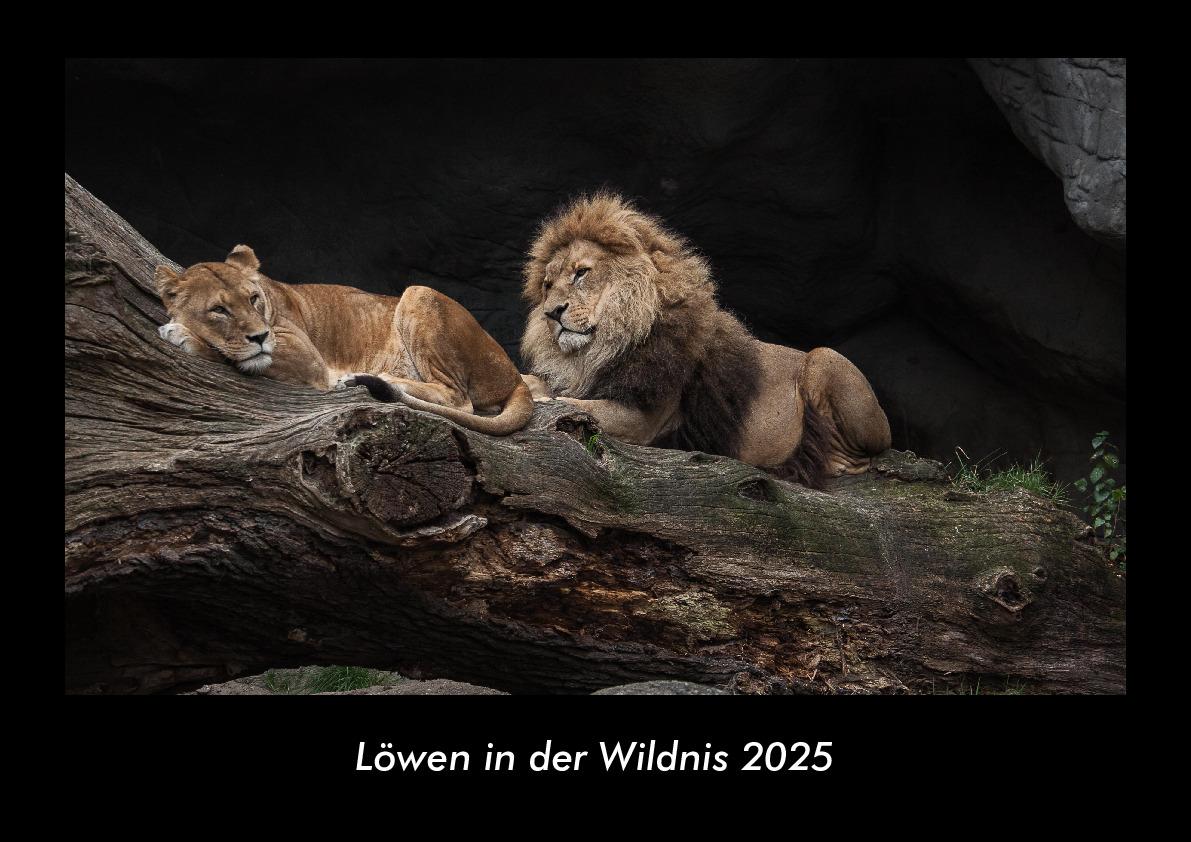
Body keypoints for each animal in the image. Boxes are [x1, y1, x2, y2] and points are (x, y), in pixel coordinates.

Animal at [154, 245, 534, 436]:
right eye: (219, 309)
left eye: (253, 299)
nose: (260, 335)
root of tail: (516, 376)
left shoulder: (307, 357)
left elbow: (239, 353)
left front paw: (181, 333)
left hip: (419, 292)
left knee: (458, 400)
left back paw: (368, 378)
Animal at [520, 193, 892, 487]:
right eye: (548, 285)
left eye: (581, 273)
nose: (552, 313)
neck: (600, 350)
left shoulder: (643, 420)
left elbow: (575, 405)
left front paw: (541, 396)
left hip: (822, 357)